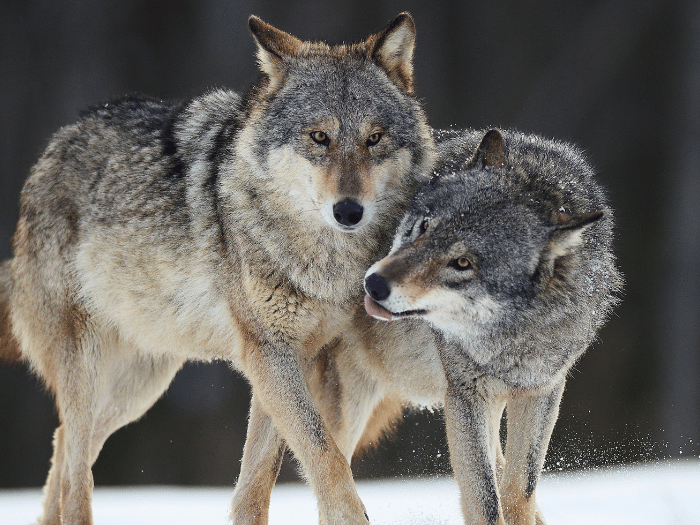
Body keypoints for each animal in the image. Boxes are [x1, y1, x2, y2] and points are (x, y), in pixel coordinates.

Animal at [0, 13, 437, 525]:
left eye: (374, 139)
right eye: (319, 137)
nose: (349, 211)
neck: (322, 258)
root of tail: (51, 149)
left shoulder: (292, 358)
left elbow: (257, 481)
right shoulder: (267, 352)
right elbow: (323, 453)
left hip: (140, 387)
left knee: (67, 441)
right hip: (89, 369)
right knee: (75, 471)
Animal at [364, 128, 622, 525]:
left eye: (462, 263)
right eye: (423, 227)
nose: (374, 284)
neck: (514, 336)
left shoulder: (542, 390)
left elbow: (518, 489)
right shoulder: (466, 396)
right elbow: (485, 500)